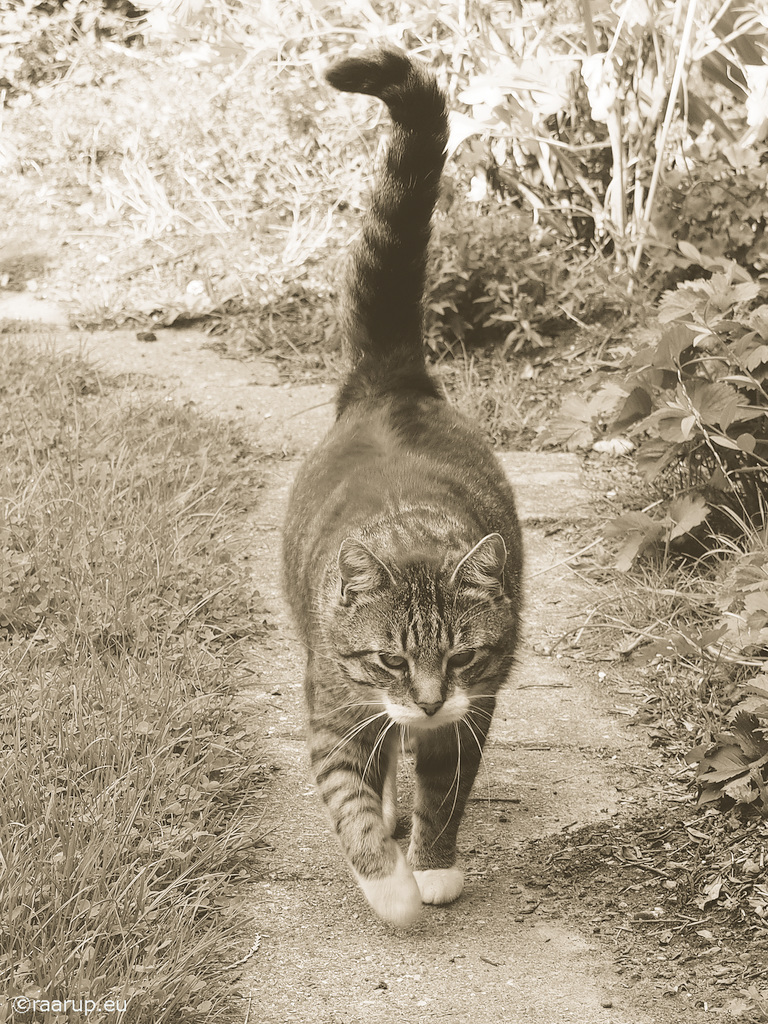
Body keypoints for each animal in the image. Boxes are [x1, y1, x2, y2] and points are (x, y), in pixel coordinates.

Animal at [282, 46, 524, 929]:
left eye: (459, 653)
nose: (421, 700)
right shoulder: (332, 706)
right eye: (388, 657)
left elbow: (445, 791)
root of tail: (392, 382)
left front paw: (434, 866)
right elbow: (348, 796)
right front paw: (388, 884)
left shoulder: (474, 707)